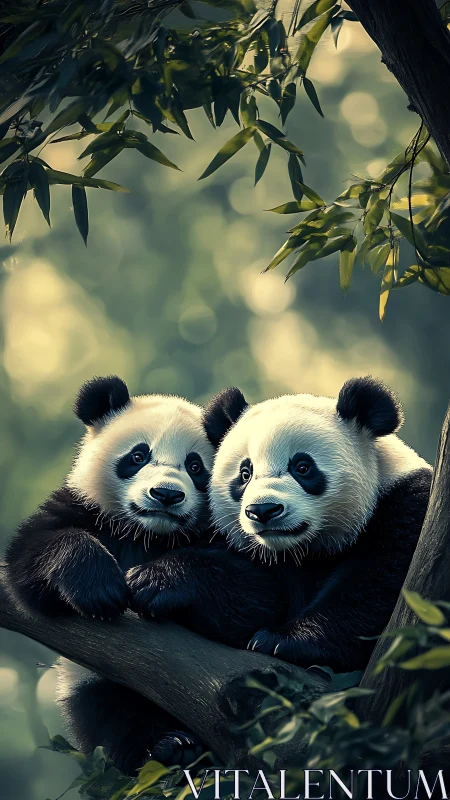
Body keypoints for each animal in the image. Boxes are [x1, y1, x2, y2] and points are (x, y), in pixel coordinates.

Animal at [6, 375, 277, 774]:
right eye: (138, 456)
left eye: (195, 466)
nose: (165, 494)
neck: (148, 533)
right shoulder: (83, 507)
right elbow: (28, 561)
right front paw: (98, 586)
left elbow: (255, 596)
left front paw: (155, 582)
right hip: (95, 679)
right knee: (111, 716)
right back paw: (167, 747)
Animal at [202, 377, 432, 672]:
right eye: (245, 473)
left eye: (303, 467)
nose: (263, 510)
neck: (306, 549)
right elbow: (252, 595)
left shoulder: (405, 505)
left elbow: (374, 587)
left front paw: (281, 640)